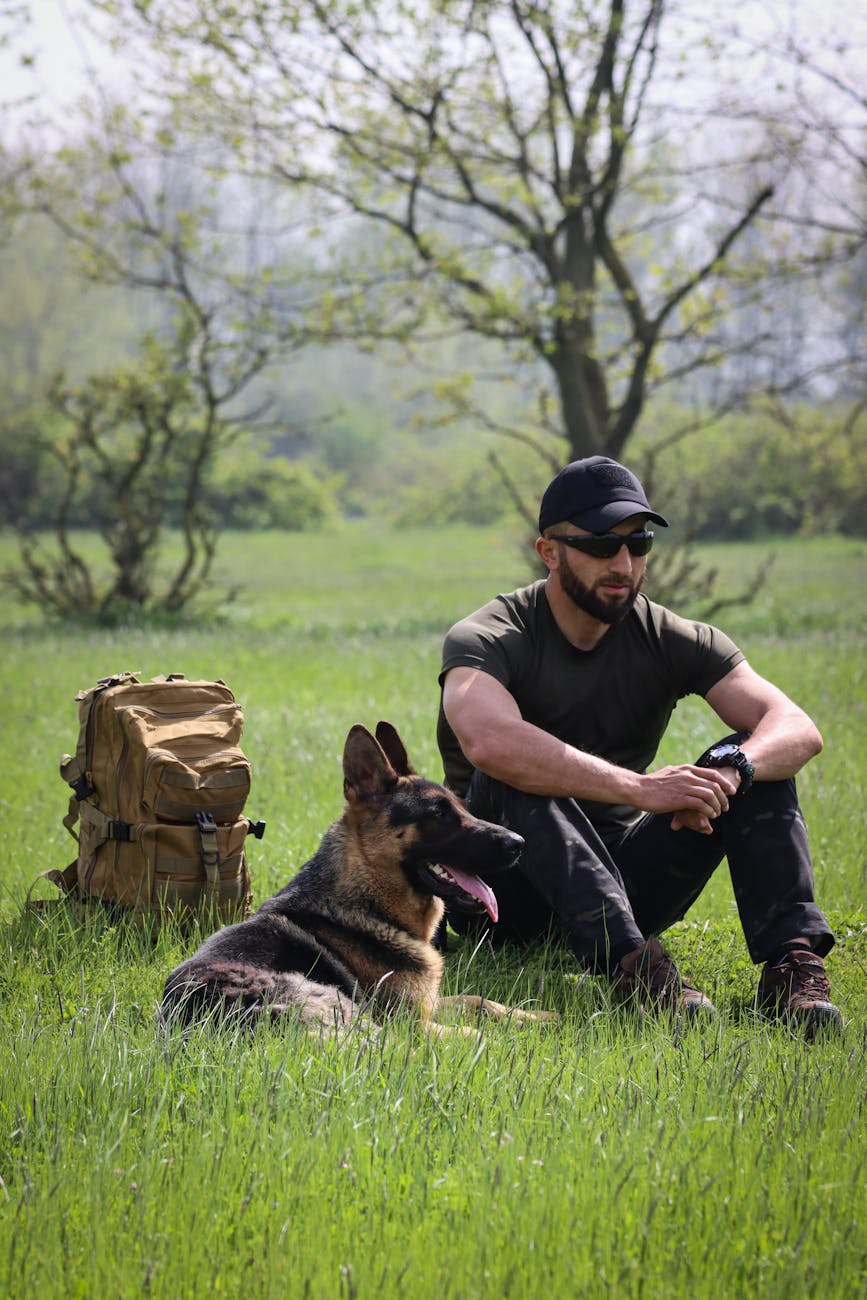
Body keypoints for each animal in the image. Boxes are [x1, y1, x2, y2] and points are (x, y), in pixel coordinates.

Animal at [162, 722, 556, 1034]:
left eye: (461, 808)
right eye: (439, 814)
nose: (518, 843)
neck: (368, 900)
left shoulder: (427, 1004)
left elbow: (479, 1001)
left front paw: (536, 1017)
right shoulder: (412, 1021)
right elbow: (470, 1031)